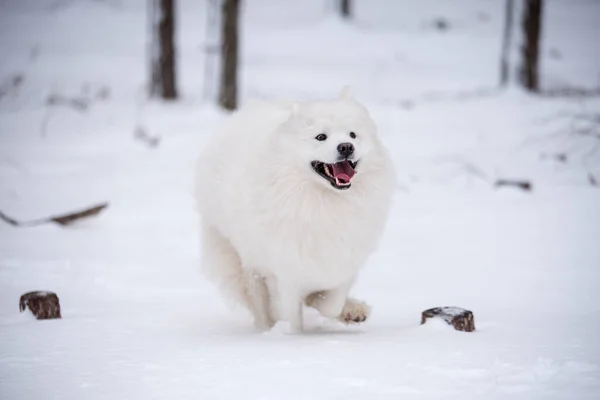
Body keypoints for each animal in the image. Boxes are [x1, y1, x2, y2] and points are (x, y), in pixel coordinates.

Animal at [195, 89, 396, 332]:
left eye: (353, 135)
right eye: (321, 137)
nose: (346, 146)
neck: (324, 202)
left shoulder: (344, 260)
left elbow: (331, 303)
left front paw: (334, 306)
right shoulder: (284, 272)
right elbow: (291, 314)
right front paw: (291, 335)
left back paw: (353, 310)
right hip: (244, 259)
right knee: (258, 302)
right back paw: (266, 328)